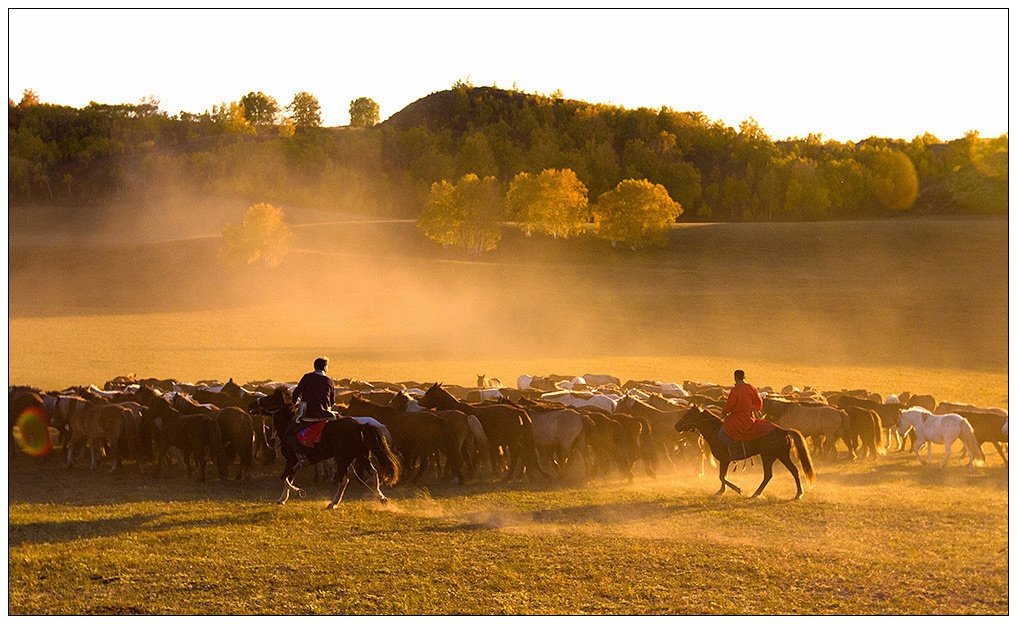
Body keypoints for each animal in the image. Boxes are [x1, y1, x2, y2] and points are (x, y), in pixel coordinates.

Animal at [675, 406, 817, 504]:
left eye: (688, 414)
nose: (677, 426)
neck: (715, 430)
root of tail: (783, 431)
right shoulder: (724, 461)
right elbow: (723, 476)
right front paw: (721, 491)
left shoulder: (725, 459)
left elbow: (722, 476)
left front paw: (737, 489)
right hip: (781, 456)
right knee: (794, 471)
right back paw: (798, 493)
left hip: (768, 456)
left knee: (769, 475)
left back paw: (756, 493)